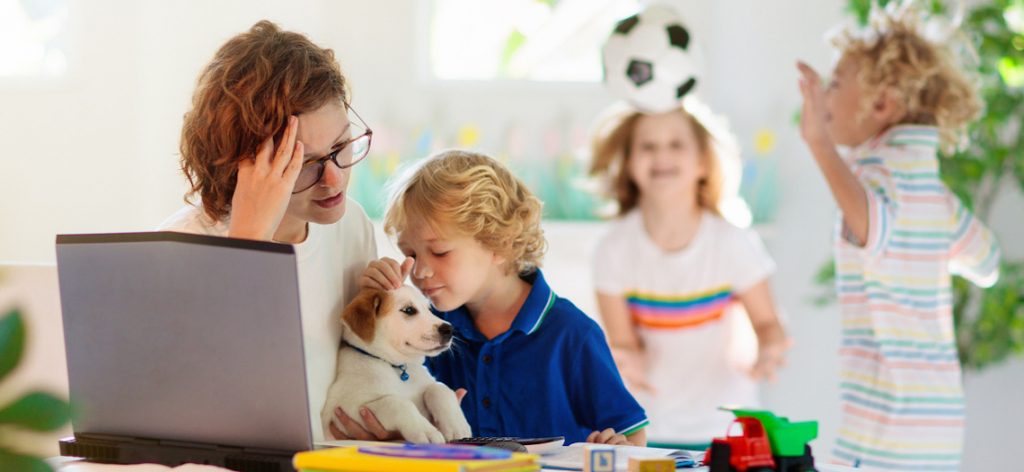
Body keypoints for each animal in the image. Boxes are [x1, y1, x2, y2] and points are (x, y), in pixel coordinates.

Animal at [319, 284, 471, 444]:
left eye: (429, 308)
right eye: (409, 310)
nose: (450, 330)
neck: (396, 367)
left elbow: (440, 388)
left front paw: (457, 426)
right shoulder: (346, 409)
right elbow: (397, 403)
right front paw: (426, 431)